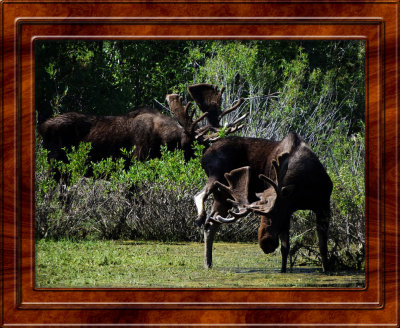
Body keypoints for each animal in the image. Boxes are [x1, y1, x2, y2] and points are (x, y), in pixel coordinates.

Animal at [195, 132, 332, 272]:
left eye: (276, 211)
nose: (266, 244)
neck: (303, 189)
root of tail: (204, 154)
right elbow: (286, 247)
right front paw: (283, 271)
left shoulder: (322, 206)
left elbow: (322, 246)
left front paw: (326, 269)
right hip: (219, 184)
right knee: (202, 201)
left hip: (222, 194)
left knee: (211, 223)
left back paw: (208, 262)